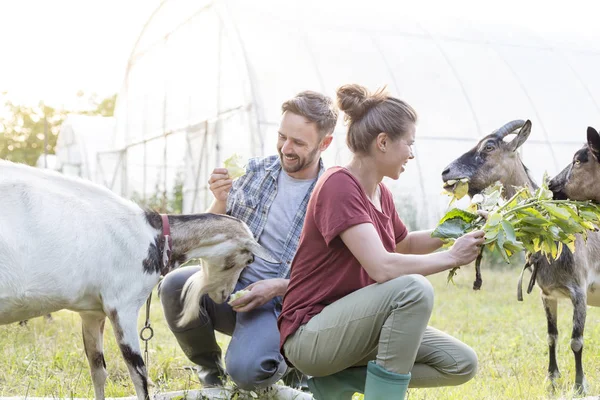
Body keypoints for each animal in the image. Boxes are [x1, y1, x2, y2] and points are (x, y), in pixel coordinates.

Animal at [0, 160, 276, 400]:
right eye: (249, 259)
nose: (226, 295)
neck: (156, 238)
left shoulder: (92, 313)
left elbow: (98, 371)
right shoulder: (122, 307)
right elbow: (139, 375)